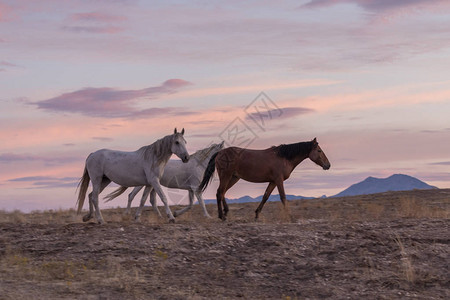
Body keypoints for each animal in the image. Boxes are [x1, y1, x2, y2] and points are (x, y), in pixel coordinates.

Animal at [200, 137, 330, 219]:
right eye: (319, 150)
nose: (328, 165)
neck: (284, 158)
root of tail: (220, 152)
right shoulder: (278, 180)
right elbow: (283, 197)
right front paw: (290, 216)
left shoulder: (273, 181)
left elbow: (265, 196)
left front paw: (257, 214)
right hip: (226, 176)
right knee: (219, 193)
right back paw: (221, 216)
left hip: (233, 178)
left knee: (223, 193)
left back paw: (226, 212)